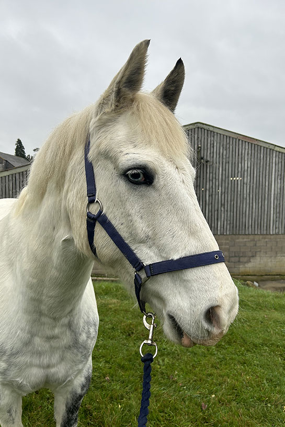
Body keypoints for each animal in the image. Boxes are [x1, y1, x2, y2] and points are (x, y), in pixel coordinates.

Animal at [0, 41, 237, 427]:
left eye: (191, 176)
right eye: (137, 174)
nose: (222, 310)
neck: (42, 307)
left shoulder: (74, 387)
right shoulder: (7, 397)